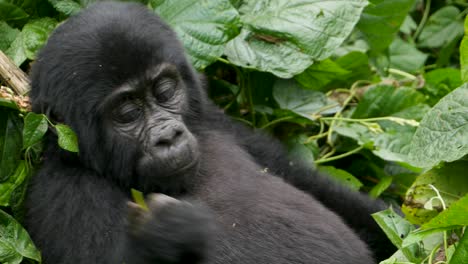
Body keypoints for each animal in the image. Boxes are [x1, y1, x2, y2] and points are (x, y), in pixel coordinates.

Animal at [24, 1, 392, 262]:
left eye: (165, 90)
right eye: (127, 113)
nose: (168, 136)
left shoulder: (213, 120)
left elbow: (311, 183)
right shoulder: (65, 193)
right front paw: (170, 234)